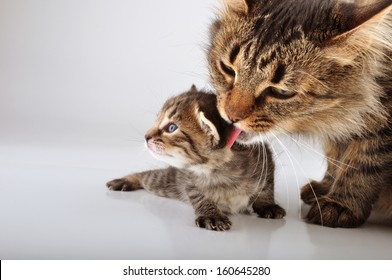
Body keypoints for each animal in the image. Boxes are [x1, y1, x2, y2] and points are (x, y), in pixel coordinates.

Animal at [107, 86, 284, 231]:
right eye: (157, 120)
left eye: (171, 128)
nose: (146, 136)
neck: (219, 171)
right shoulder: (189, 180)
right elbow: (198, 195)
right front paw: (211, 214)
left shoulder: (265, 160)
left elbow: (267, 187)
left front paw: (267, 204)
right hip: (166, 182)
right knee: (147, 176)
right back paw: (126, 180)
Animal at [207, 0, 390, 228]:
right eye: (228, 69)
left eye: (282, 92)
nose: (230, 116)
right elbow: (335, 156)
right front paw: (325, 187)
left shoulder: (381, 126)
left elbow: (363, 164)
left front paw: (340, 205)